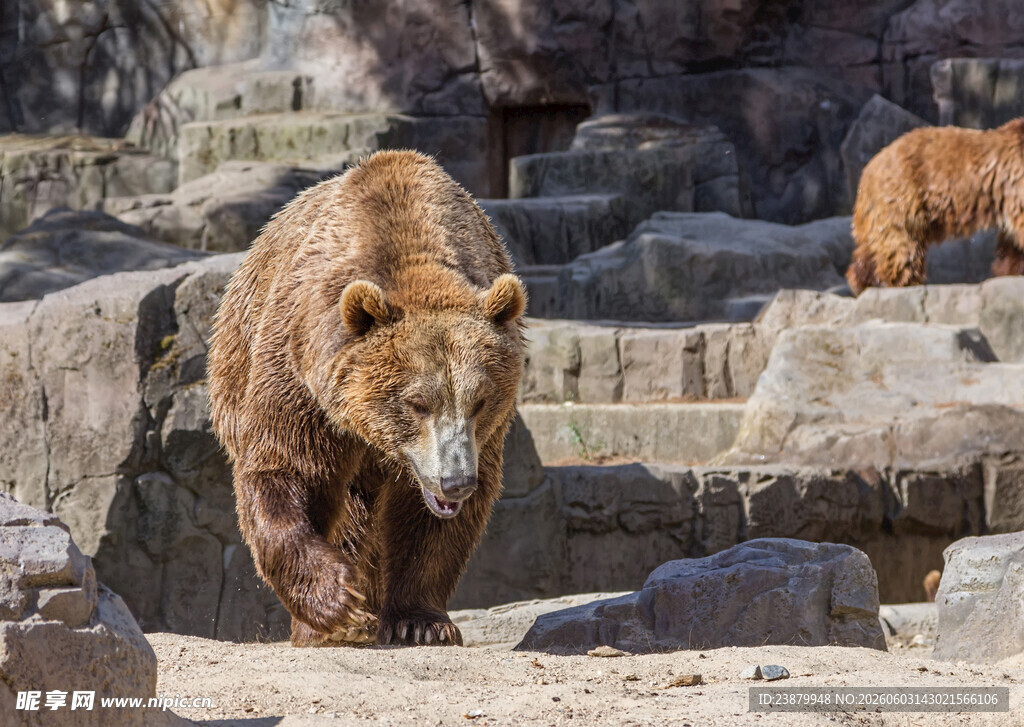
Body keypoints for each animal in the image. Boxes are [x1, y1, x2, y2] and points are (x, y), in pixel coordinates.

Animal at [207, 150, 527, 647]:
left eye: (479, 401)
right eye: (418, 403)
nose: (456, 480)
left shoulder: (478, 442)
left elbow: (430, 524)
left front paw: (422, 622)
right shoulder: (302, 375)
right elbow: (288, 469)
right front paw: (336, 601)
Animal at [846, 118, 1024, 294]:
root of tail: (868, 170)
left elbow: (1011, 243)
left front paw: (1011, 270)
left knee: (871, 247)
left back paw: (862, 281)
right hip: (903, 196)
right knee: (902, 243)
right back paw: (903, 282)